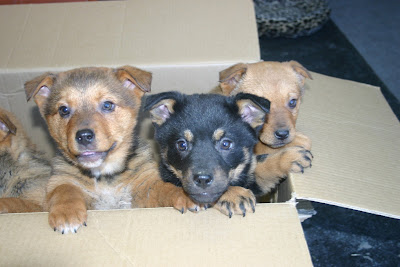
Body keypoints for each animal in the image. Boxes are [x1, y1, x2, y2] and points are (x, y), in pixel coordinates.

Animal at [23, 65, 202, 234]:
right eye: (63, 110)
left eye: (107, 105)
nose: (84, 136)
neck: (104, 175)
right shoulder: (59, 180)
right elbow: (65, 190)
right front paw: (66, 214)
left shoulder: (145, 185)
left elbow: (166, 188)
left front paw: (187, 197)